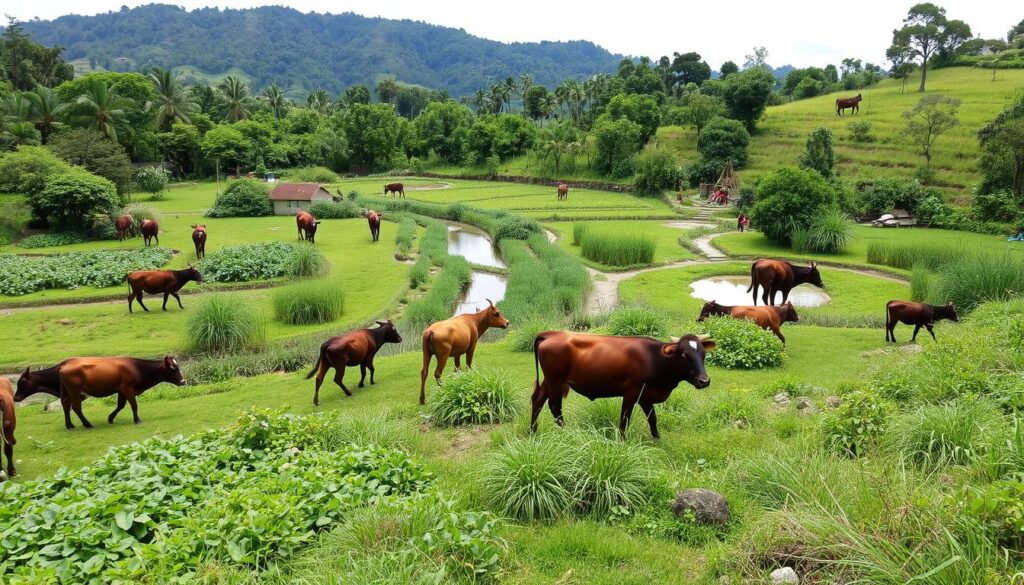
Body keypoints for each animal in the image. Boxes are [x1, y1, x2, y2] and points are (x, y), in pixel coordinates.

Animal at [57, 354, 186, 428]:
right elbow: (134, 405)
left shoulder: (121, 390)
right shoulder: (127, 388)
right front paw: (137, 420)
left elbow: (120, 406)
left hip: (69, 391)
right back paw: (87, 424)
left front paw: (110, 418)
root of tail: (65, 362)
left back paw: (69, 425)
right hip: (74, 390)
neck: (137, 367)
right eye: (172, 369)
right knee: (76, 407)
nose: (183, 381)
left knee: (66, 404)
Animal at [532, 329, 716, 438]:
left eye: (703, 353)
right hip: (555, 380)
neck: (655, 358)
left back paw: (532, 432)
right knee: (554, 406)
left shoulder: (646, 395)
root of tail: (553, 333)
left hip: (550, 381)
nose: (704, 381)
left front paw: (657, 439)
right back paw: (567, 432)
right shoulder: (632, 392)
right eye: (684, 355)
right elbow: (625, 419)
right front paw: (622, 440)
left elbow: (652, 418)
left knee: (537, 400)